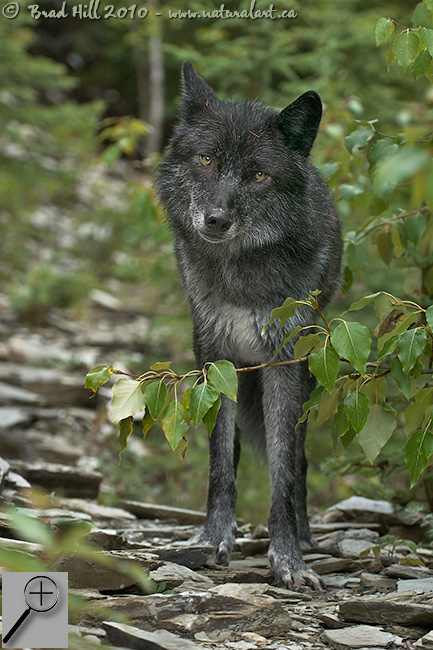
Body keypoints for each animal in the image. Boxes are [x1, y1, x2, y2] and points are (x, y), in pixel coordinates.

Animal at [156, 62, 342, 589]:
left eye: (258, 174)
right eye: (205, 159)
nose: (216, 219)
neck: (240, 272)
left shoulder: (284, 362)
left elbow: (282, 471)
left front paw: (289, 560)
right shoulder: (215, 357)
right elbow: (221, 462)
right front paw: (212, 540)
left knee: (299, 459)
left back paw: (305, 535)